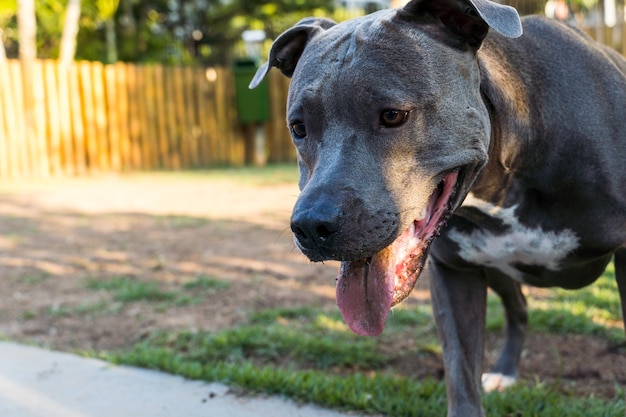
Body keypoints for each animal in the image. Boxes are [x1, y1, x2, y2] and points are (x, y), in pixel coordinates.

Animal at [249, 0, 624, 414]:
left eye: (392, 115)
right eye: (298, 127)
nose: (312, 226)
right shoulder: (455, 272)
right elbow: (461, 375)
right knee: (519, 307)